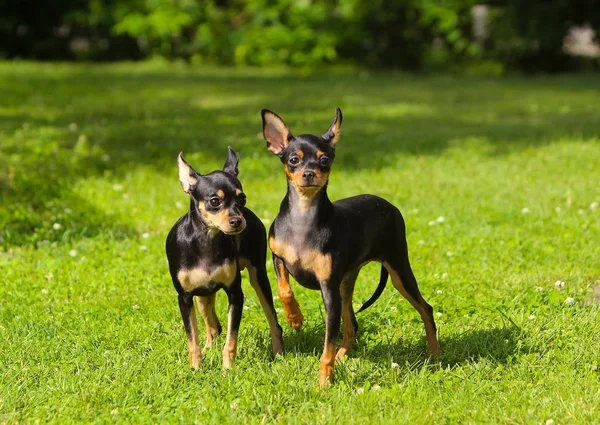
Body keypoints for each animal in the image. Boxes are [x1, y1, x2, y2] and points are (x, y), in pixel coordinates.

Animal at [165, 148, 284, 368]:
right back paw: (206, 352)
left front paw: (227, 369)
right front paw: (196, 368)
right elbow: (192, 339)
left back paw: (279, 354)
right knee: (213, 328)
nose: (238, 220)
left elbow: (231, 339)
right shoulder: (185, 298)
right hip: (202, 296)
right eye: (215, 201)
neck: (207, 241)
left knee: (273, 320)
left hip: (258, 277)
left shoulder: (235, 294)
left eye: (242, 199)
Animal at [260, 107, 438, 386]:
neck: (303, 217)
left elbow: (327, 345)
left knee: (426, 309)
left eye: (324, 160)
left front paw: (324, 382)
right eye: (293, 160)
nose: (309, 174)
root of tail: (388, 205)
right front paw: (295, 318)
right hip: (346, 286)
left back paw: (434, 353)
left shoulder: (328, 291)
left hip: (398, 271)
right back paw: (342, 357)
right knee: (352, 325)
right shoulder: (278, 259)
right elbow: (284, 290)